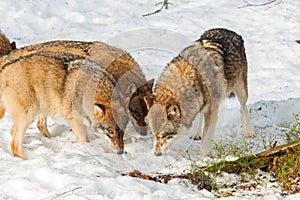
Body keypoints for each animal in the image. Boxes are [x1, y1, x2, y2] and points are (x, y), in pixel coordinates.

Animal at [0, 50, 136, 159]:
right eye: (111, 131)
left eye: (122, 132)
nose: (120, 152)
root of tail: (5, 68)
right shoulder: (75, 120)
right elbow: (85, 140)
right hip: (28, 113)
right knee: (14, 139)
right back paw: (24, 159)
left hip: (43, 106)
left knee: (40, 125)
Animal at [145, 28, 255, 156]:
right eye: (154, 134)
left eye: (164, 135)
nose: (156, 154)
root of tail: (230, 31)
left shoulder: (212, 111)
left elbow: (206, 140)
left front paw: (204, 156)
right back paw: (196, 133)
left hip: (241, 89)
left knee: (243, 107)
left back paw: (248, 132)